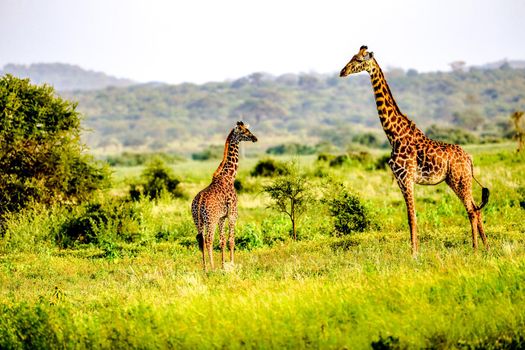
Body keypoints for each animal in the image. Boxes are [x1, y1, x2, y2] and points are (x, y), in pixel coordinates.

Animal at [192, 120, 258, 270]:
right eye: (244, 131)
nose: (255, 138)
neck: (229, 176)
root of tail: (199, 202)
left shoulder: (222, 217)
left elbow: (222, 240)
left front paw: (223, 265)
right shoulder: (233, 213)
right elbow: (231, 239)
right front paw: (231, 264)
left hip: (198, 221)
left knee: (200, 240)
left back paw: (205, 268)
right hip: (211, 220)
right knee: (208, 240)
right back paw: (212, 268)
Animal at [338, 45, 490, 256]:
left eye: (359, 60)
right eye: (352, 57)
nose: (342, 72)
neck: (394, 135)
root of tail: (469, 158)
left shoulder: (405, 178)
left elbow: (412, 218)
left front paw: (414, 254)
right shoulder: (400, 180)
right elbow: (411, 217)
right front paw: (415, 252)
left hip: (460, 179)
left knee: (472, 209)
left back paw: (475, 250)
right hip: (455, 180)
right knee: (476, 208)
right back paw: (487, 248)